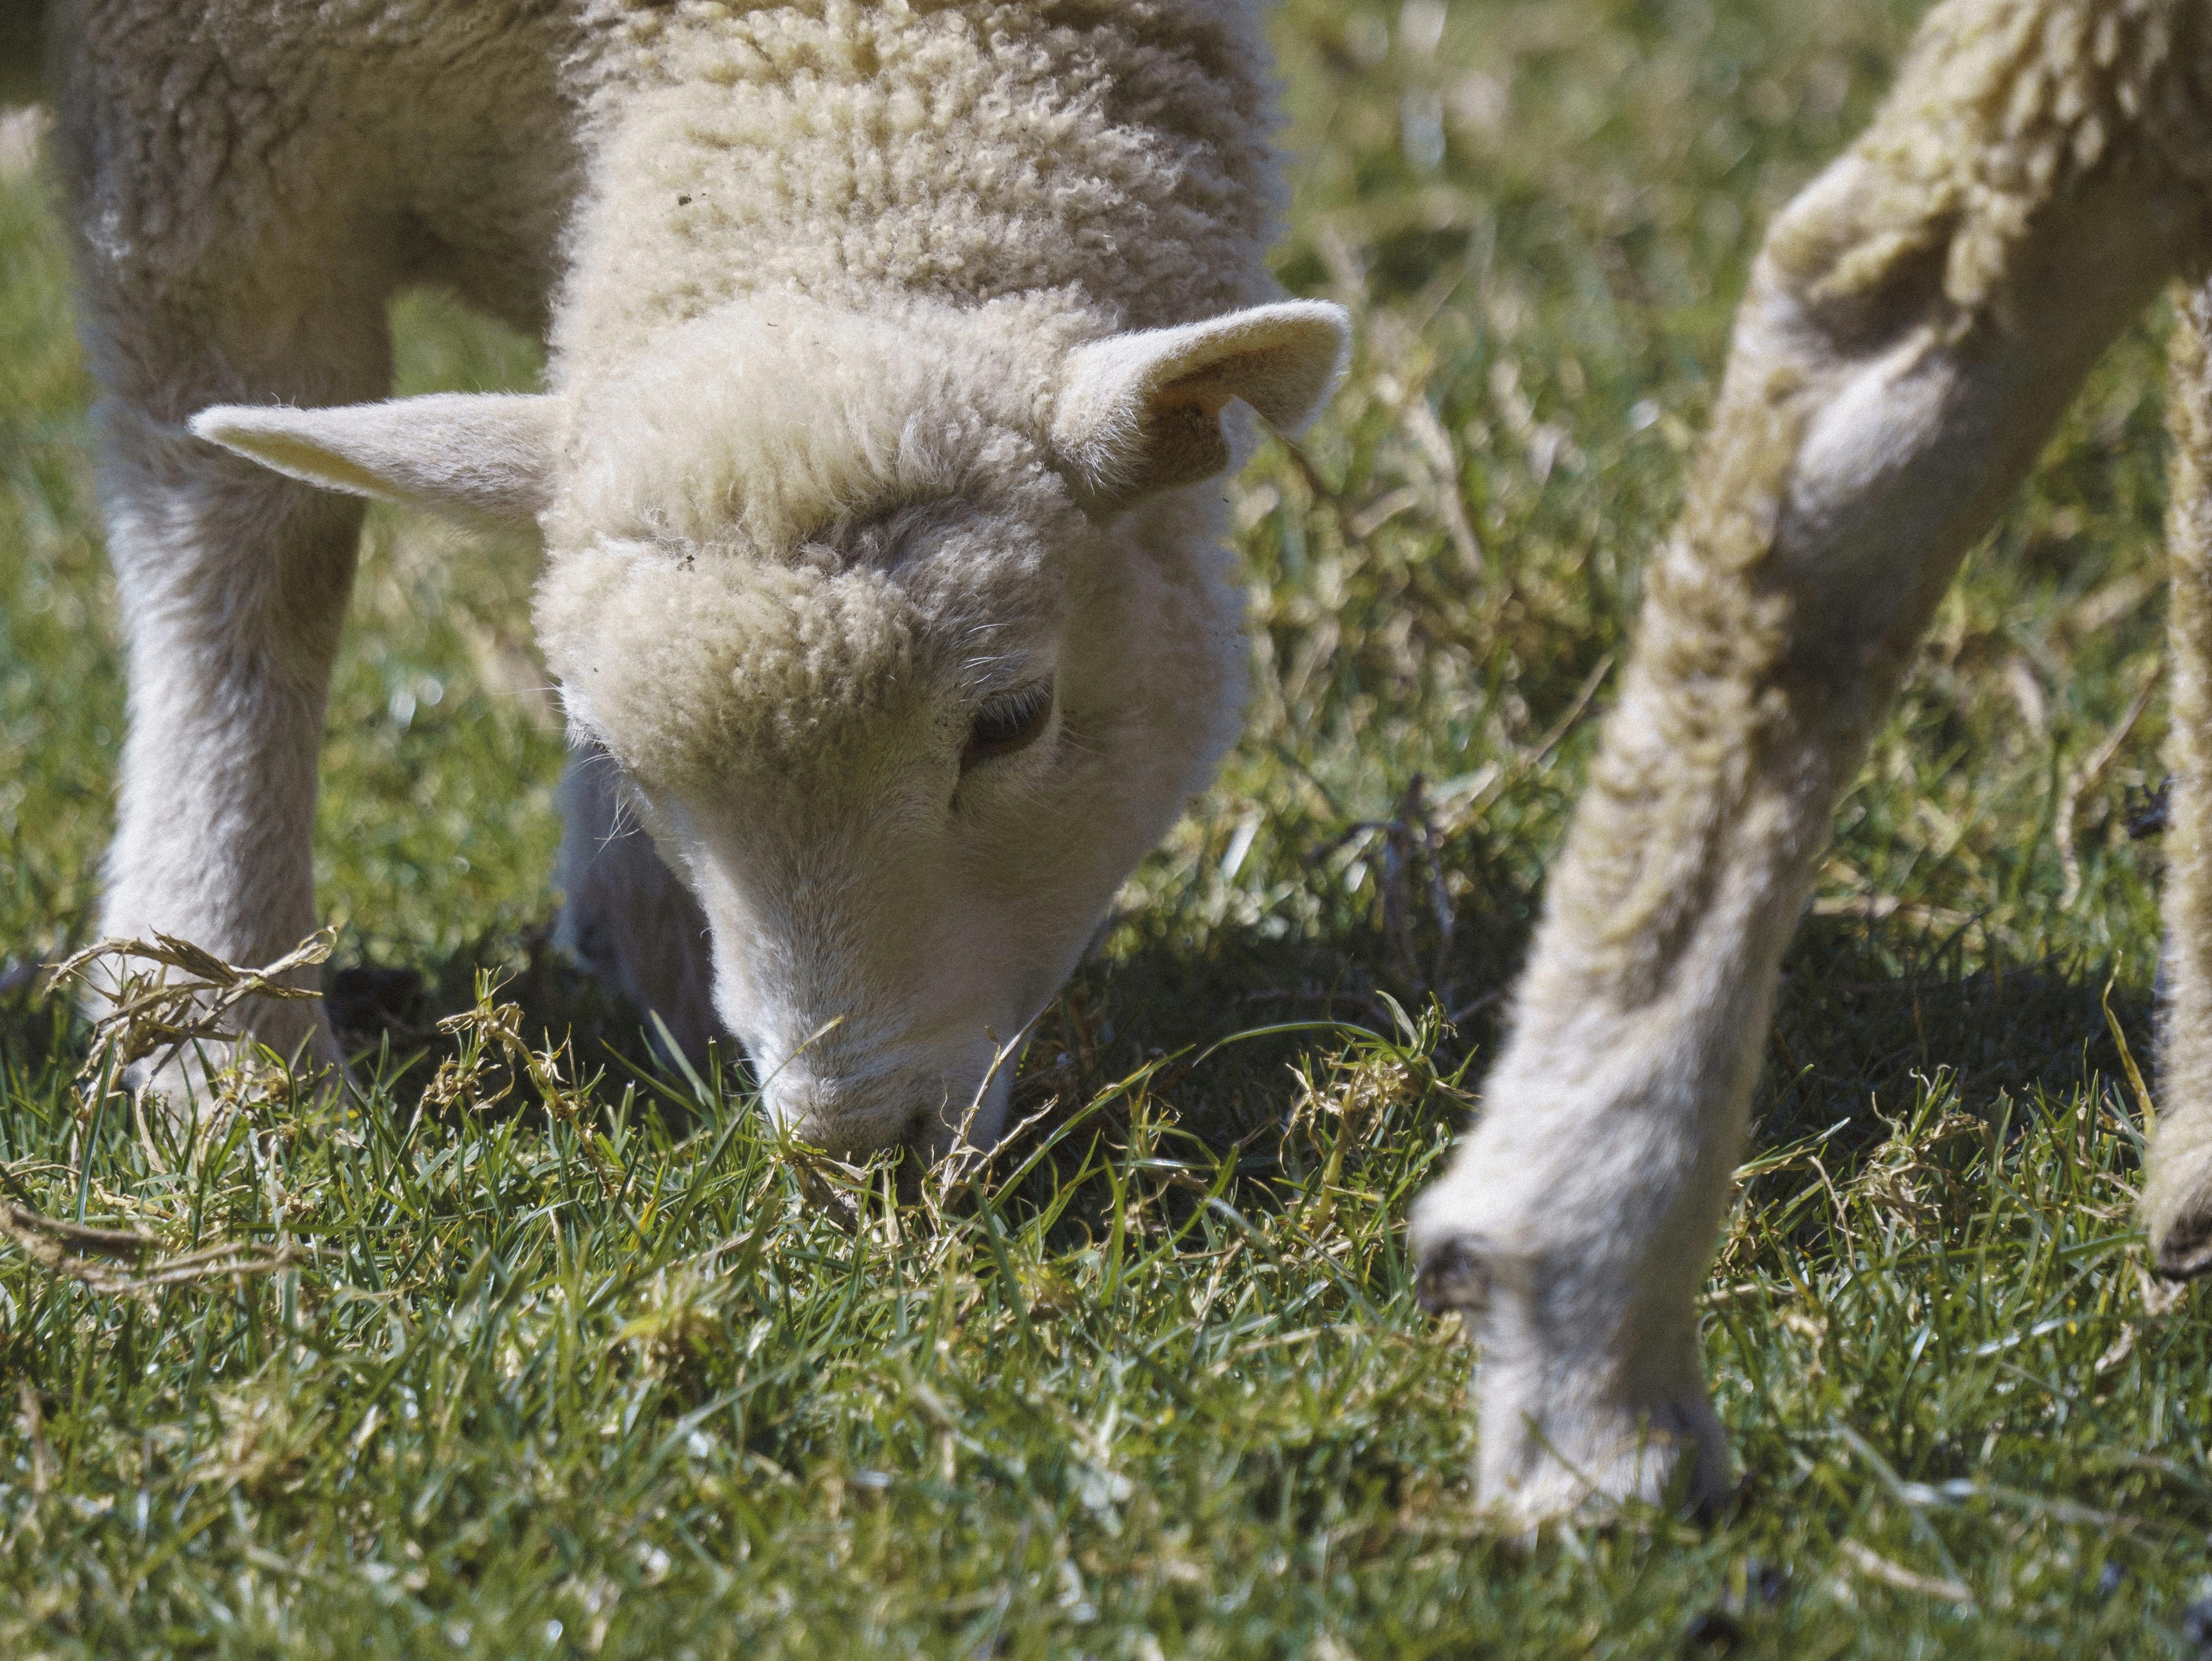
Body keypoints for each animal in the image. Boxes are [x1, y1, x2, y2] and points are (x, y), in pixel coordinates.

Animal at [45, 0, 1348, 1150]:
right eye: (628, 761)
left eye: (1013, 718)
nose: (854, 1147)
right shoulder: (204, 147)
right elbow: (258, 552)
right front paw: (223, 1033)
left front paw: (647, 960)